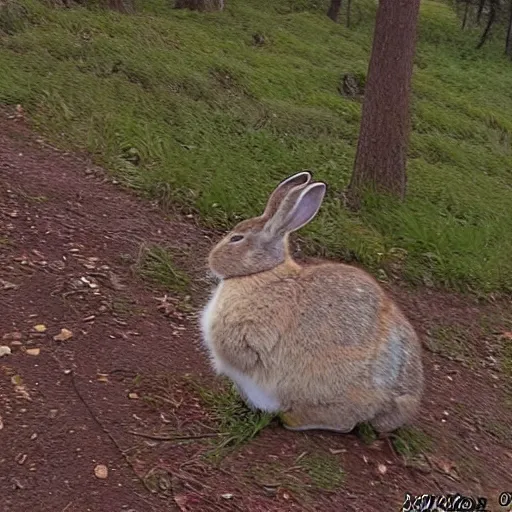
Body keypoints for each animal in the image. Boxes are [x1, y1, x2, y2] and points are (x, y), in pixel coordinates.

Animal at [200, 171, 424, 432]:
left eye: (237, 238)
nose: (211, 259)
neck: (265, 272)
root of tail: (400, 404)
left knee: (343, 422)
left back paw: (292, 419)